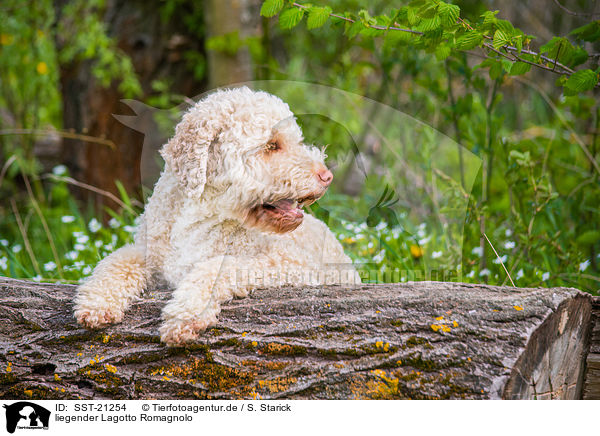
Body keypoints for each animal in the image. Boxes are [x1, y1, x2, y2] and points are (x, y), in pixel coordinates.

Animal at [72, 86, 358, 344]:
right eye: (271, 145)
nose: (327, 176)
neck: (198, 221)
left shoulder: (293, 262)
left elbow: (218, 267)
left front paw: (185, 314)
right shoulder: (147, 254)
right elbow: (116, 262)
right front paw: (96, 302)